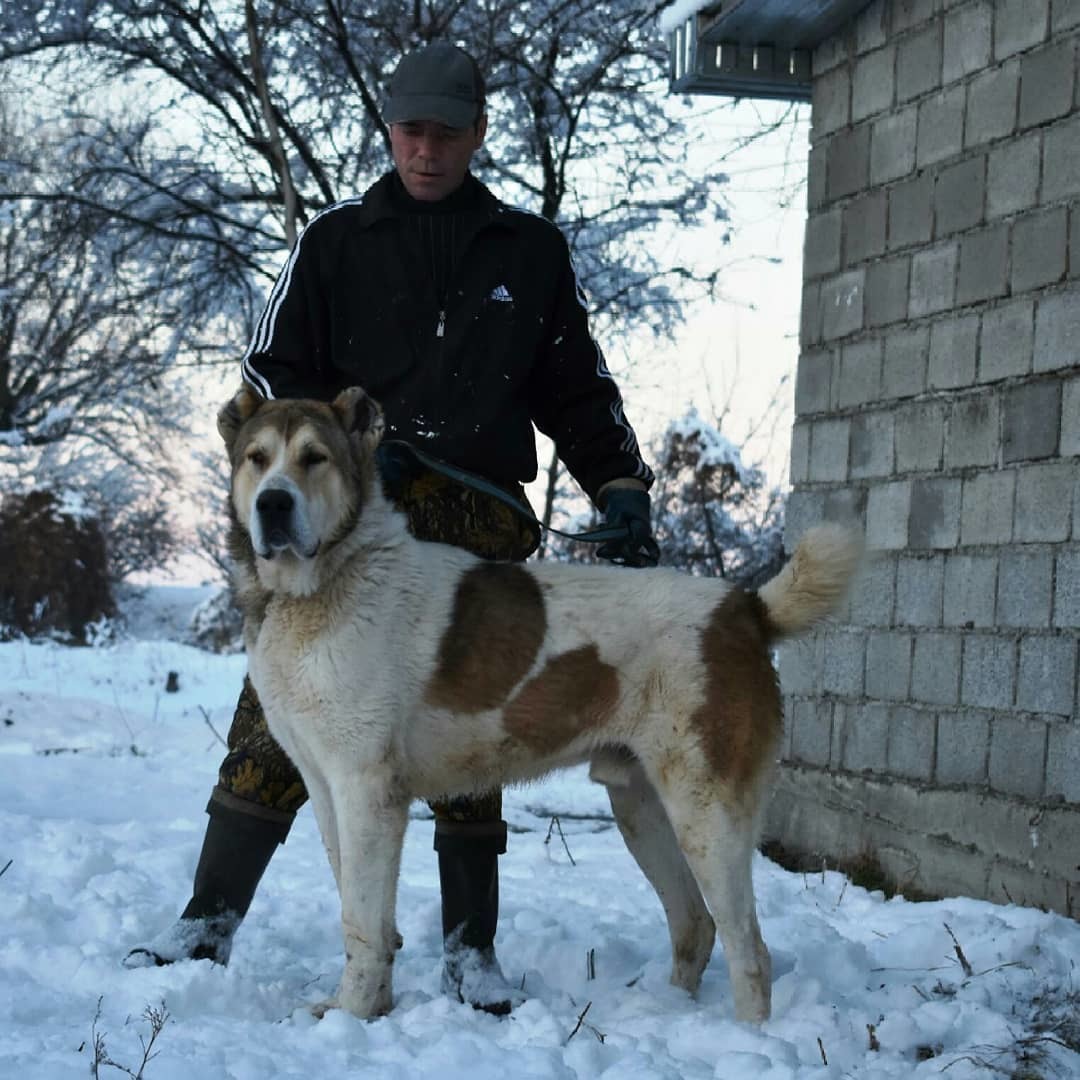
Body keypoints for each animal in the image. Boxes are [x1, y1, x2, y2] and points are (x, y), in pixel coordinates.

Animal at [217, 386, 859, 1019]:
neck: (330, 581)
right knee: (695, 924)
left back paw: (747, 1035)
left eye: (314, 458)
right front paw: (365, 1007)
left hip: (707, 814)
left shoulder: (366, 792)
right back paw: (666, 1013)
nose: (273, 504)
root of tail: (745, 608)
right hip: (642, 808)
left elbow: (365, 923)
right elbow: (357, 906)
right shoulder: (326, 788)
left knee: (749, 949)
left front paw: (353, 1018)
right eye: (257, 459)